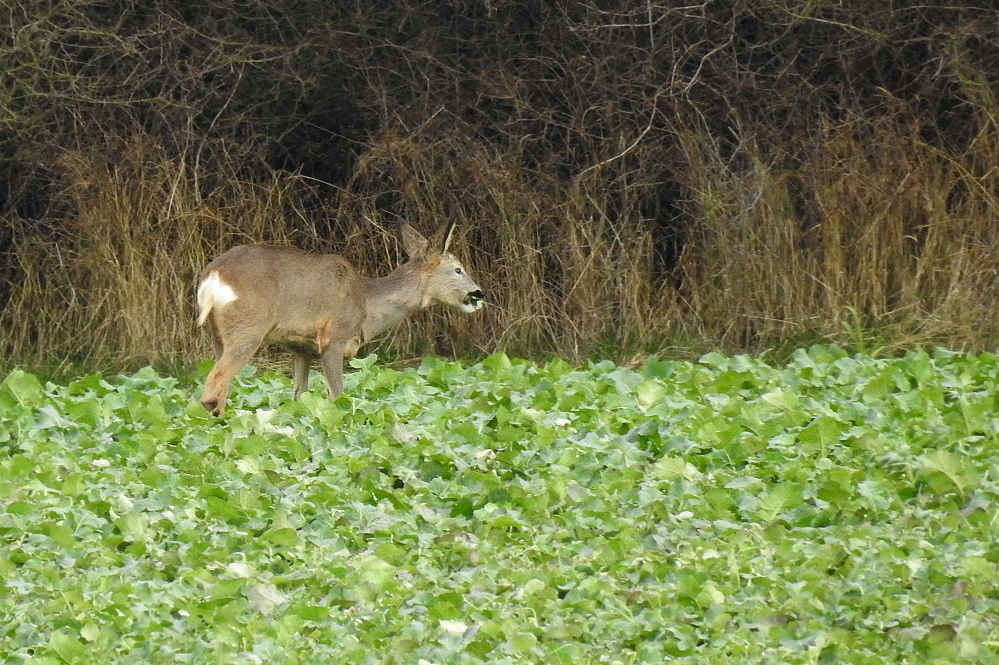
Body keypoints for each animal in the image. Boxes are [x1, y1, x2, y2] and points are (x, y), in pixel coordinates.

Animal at [194, 220, 484, 412]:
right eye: (458, 269)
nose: (478, 293)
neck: (367, 305)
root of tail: (214, 275)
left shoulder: (300, 348)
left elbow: (299, 395)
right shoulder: (334, 339)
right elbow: (337, 395)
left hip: (217, 333)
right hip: (249, 326)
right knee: (214, 385)